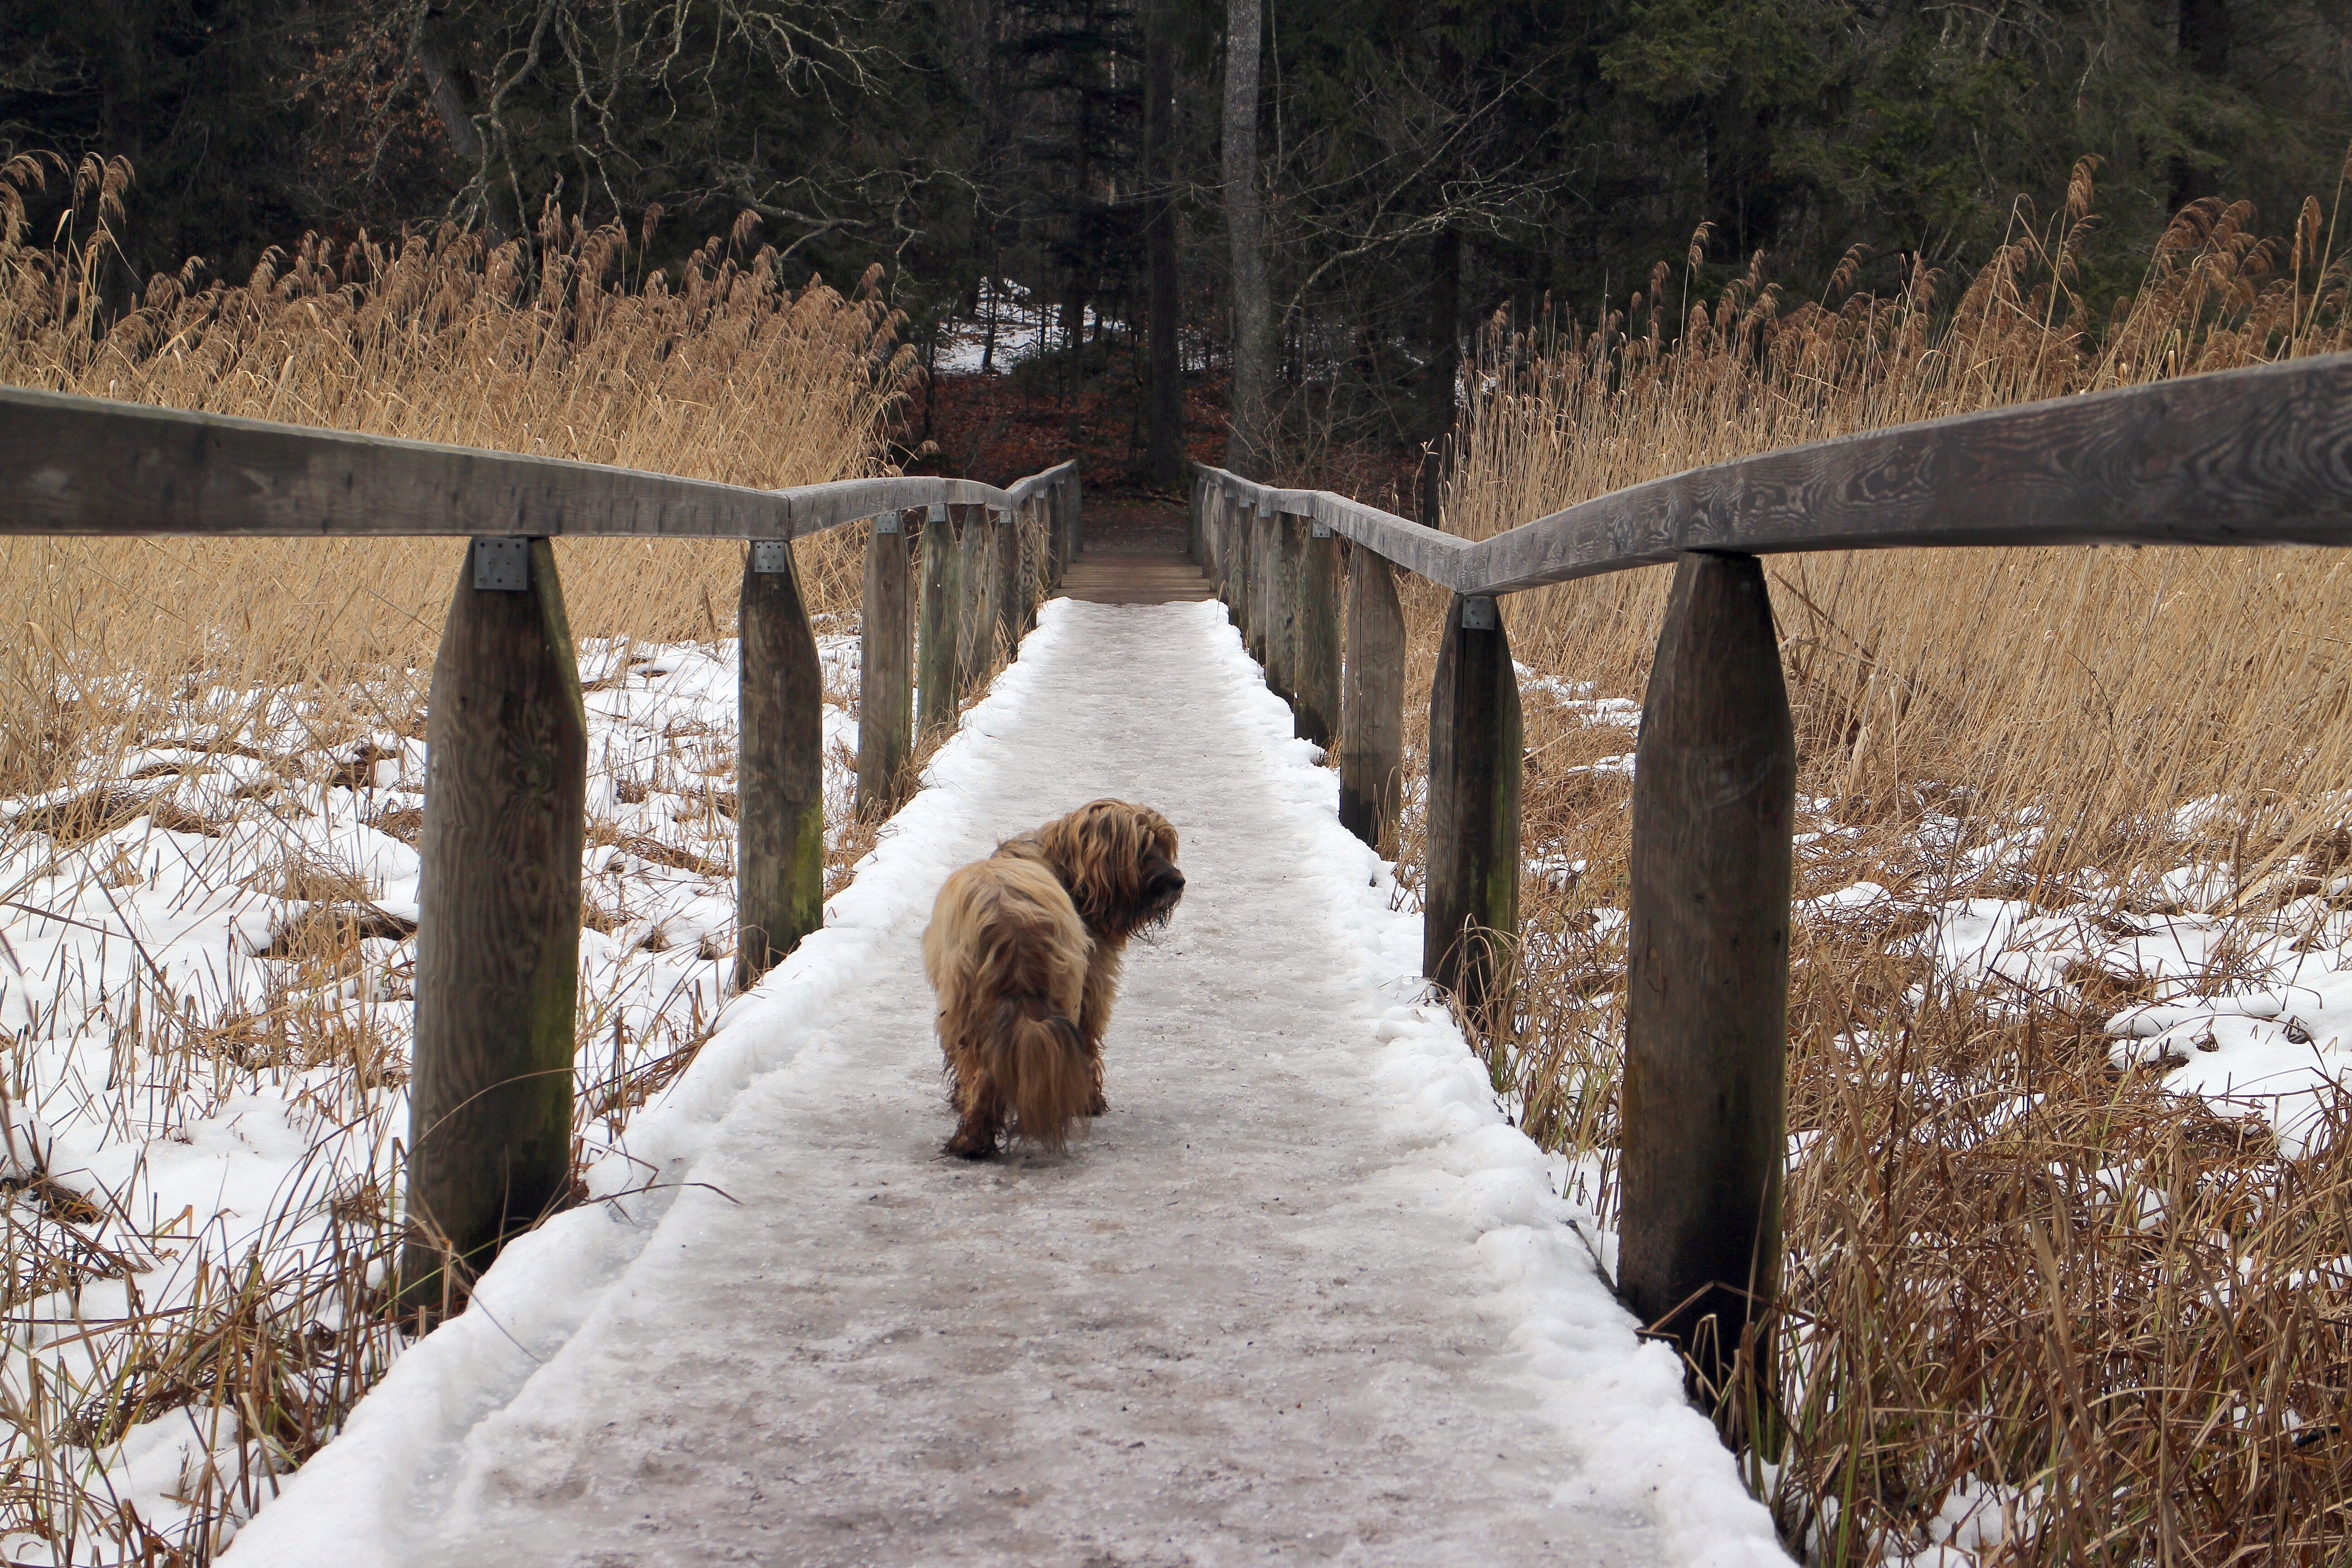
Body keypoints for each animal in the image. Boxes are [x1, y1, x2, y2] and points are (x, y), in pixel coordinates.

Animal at [922, 804, 1185, 1161]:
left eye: (1163, 844)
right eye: (1142, 848)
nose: (1178, 881)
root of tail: (1013, 925)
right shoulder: (1092, 989)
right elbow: (1089, 1049)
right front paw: (1091, 1103)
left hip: (967, 1010)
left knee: (982, 1071)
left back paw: (972, 1140)